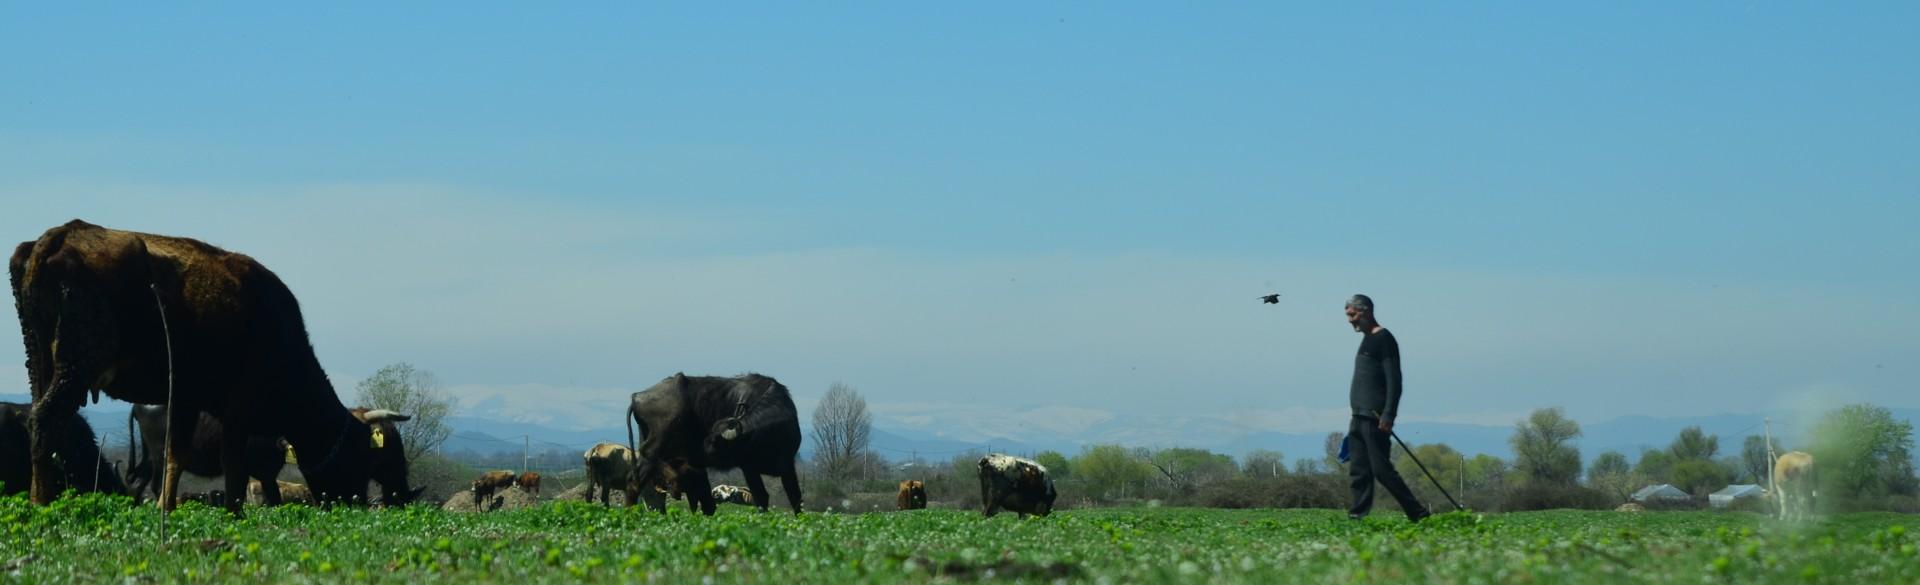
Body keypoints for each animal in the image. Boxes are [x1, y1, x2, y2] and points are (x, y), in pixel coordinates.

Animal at [10, 220, 401, 514]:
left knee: (40, 421)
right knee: (45, 420)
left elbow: (176, 455)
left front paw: (166, 509)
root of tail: (62, 232)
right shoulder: (239, 406)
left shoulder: (185, 398)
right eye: (360, 454)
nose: (357, 502)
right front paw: (233, 512)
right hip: (76, 365)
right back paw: (41, 501)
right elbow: (233, 465)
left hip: (41, 365)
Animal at [629, 372, 802, 514]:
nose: (696, 456)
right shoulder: (749, 468)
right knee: (635, 481)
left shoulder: (787, 465)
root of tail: (637, 396)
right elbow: (761, 497)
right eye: (709, 438)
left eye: (714, 442)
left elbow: (795, 498)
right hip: (653, 451)